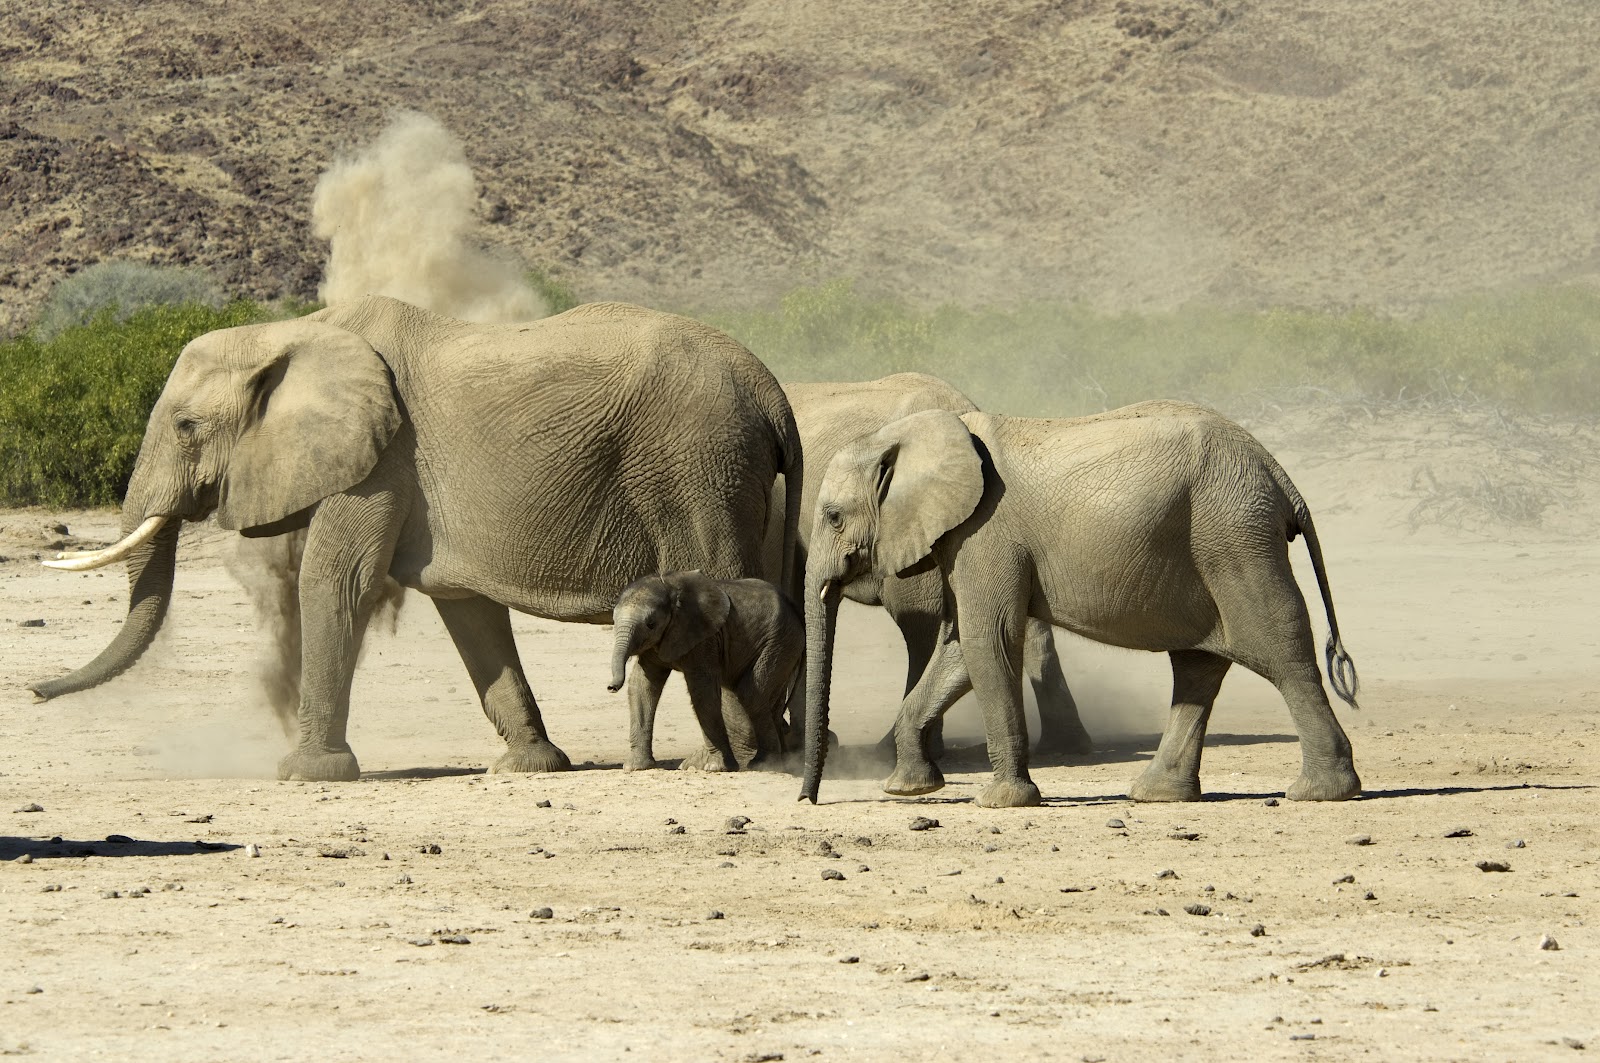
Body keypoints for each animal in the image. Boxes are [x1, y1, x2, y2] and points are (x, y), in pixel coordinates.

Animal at [608, 571, 801, 772]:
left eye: (651, 624)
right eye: (613, 621)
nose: (611, 687)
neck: (668, 584)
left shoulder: (705, 637)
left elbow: (702, 691)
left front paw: (716, 767)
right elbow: (642, 685)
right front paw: (635, 767)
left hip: (779, 643)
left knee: (751, 694)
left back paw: (763, 763)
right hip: (783, 646)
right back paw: (783, 763)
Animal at [798, 401, 1361, 809]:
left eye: (832, 516)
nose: (810, 800)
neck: (916, 434)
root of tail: (1278, 473)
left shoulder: (985, 533)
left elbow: (988, 641)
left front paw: (1001, 802)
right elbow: (959, 650)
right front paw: (909, 789)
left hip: (1235, 540)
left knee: (1280, 651)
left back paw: (1321, 793)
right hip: (1218, 543)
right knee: (1198, 666)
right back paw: (1156, 795)